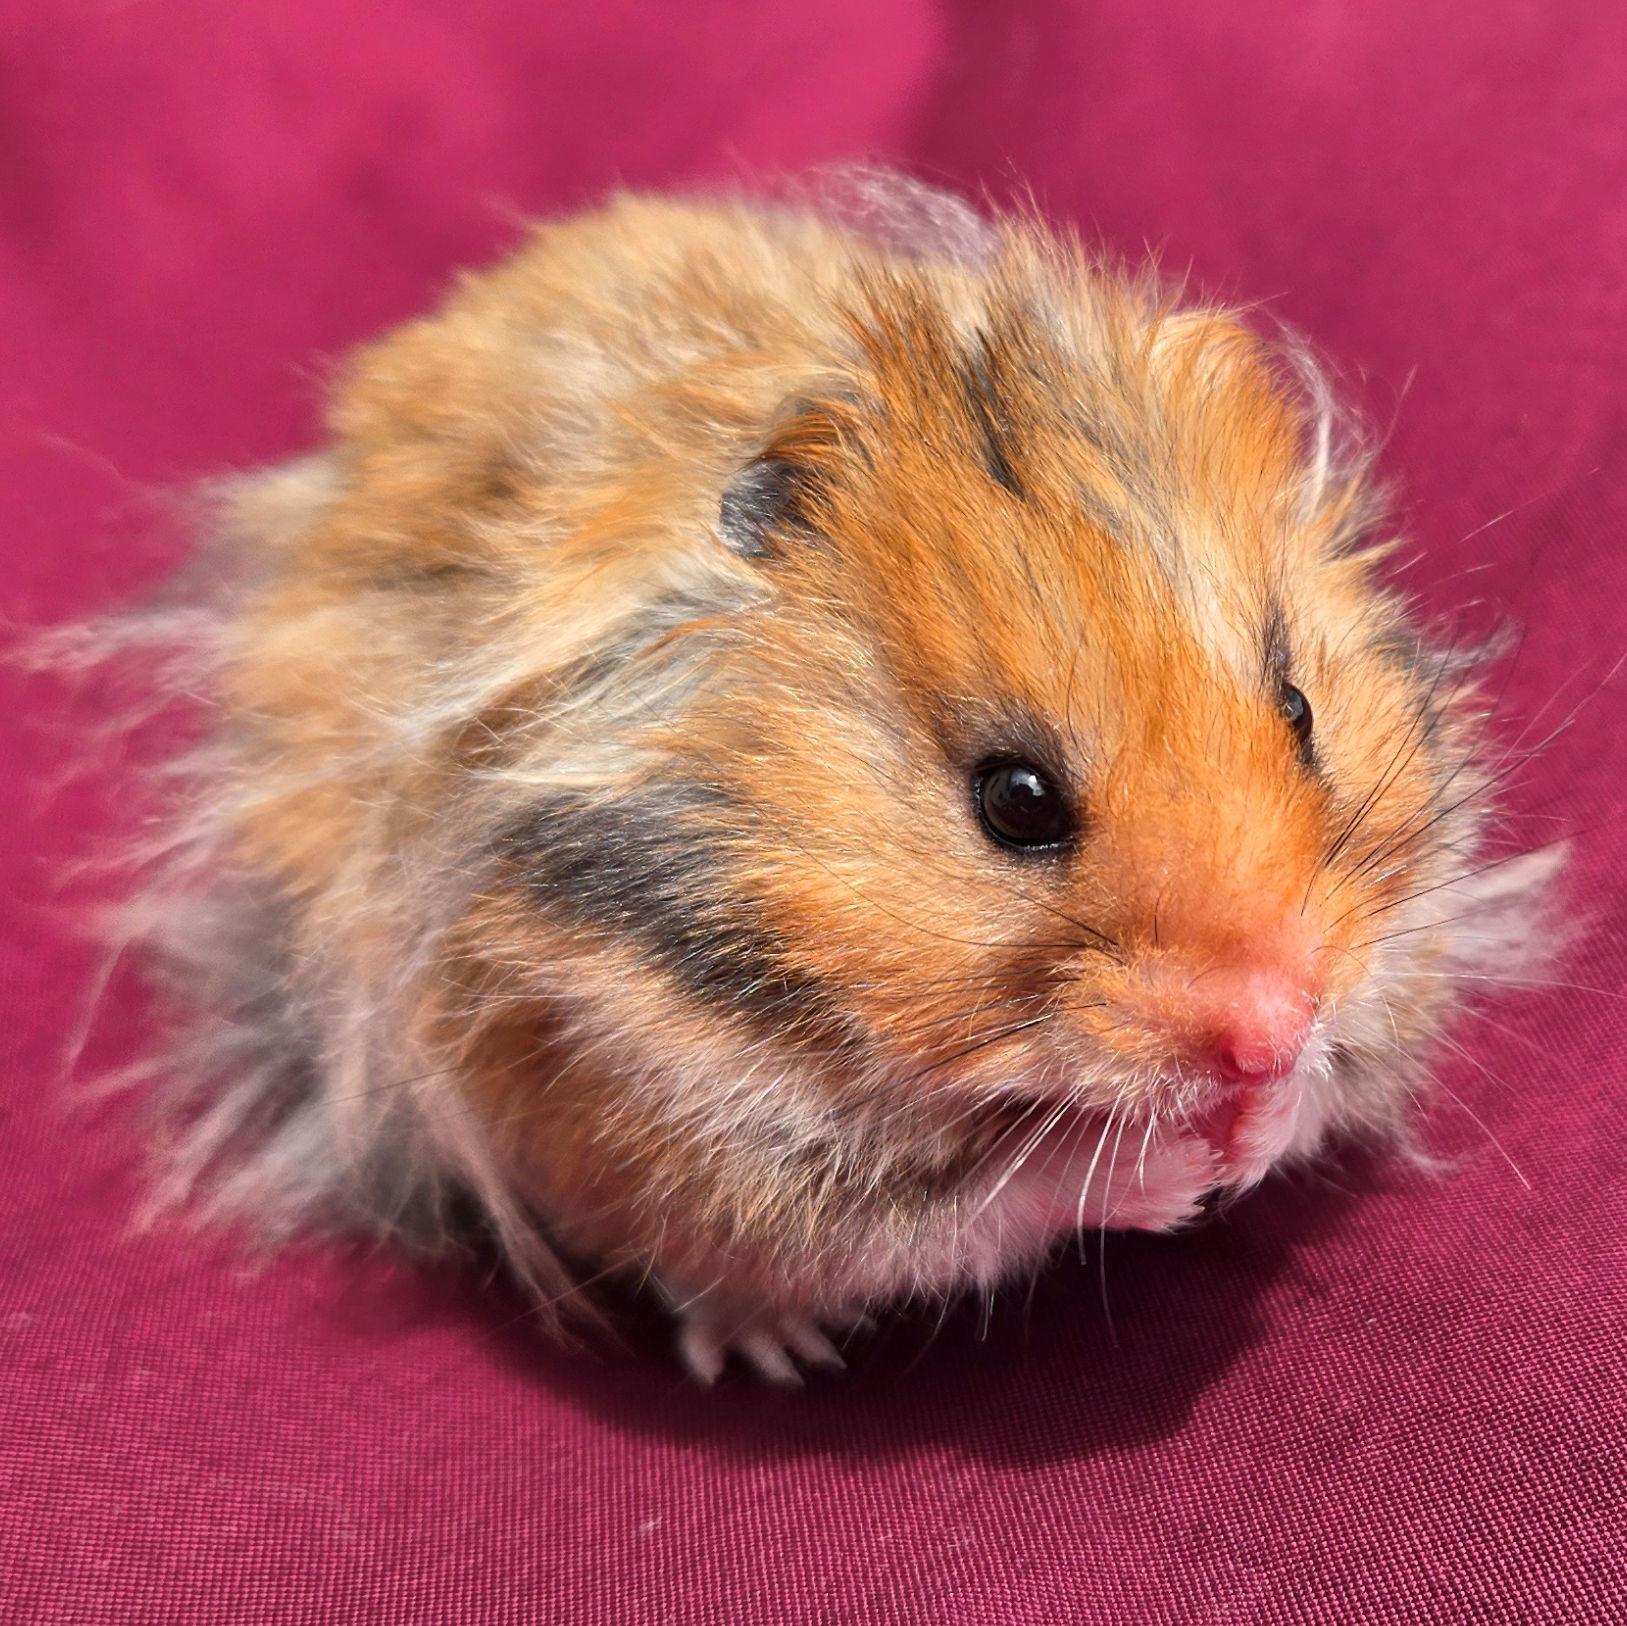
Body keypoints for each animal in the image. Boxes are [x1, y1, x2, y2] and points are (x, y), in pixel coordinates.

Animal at [108, 173, 1552, 1383]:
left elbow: (1332, 1081)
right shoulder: (654, 1103)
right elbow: (985, 1198)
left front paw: (1256, 1128)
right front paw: (1174, 1165)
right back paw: (768, 1350)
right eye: (1014, 801)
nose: (1270, 1023)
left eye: (1300, 709)